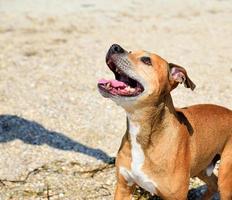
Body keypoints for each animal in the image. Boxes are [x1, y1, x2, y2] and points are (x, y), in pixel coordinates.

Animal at [97, 44, 231, 200]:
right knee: (213, 184)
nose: (115, 47)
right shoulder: (123, 187)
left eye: (146, 60)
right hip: (202, 167)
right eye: (130, 51)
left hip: (226, 177)